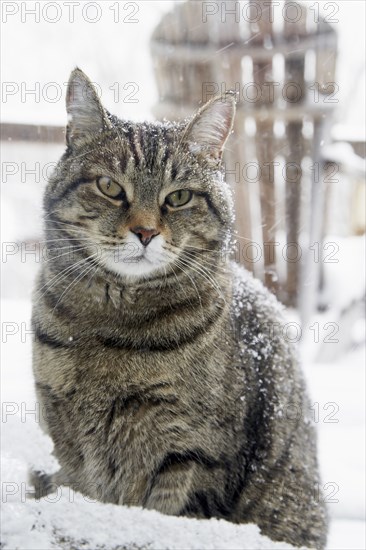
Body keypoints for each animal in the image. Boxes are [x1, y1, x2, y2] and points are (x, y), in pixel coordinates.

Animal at [31, 69, 328, 550]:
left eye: (179, 197)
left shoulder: (193, 457)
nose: (145, 232)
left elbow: (167, 519)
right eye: (110, 187)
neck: (114, 327)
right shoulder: (64, 442)